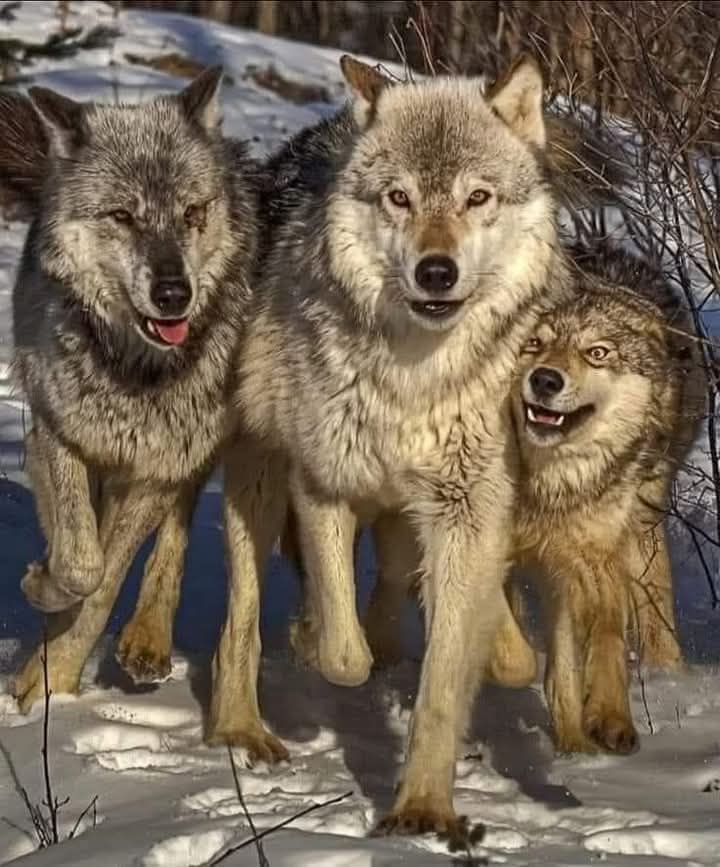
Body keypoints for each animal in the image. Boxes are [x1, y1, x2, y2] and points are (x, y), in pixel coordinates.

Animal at [7, 70, 260, 714]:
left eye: (192, 212)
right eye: (122, 216)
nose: (174, 294)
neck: (134, 372)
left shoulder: (155, 471)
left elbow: (103, 584)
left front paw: (54, 682)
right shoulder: (59, 437)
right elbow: (80, 563)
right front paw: (42, 588)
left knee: (172, 534)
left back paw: (143, 641)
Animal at [204, 52, 582, 841]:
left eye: (477, 197)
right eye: (400, 198)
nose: (436, 271)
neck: (416, 378)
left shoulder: (468, 509)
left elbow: (448, 674)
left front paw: (423, 808)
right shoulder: (324, 484)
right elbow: (343, 652)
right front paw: (320, 639)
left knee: (409, 588)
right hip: (260, 486)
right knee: (244, 620)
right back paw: (244, 727)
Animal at [364, 243, 706, 755]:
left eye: (597, 353)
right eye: (533, 345)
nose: (545, 380)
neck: (546, 487)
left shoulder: (595, 555)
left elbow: (606, 633)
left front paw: (609, 717)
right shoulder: (482, 541)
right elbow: (506, 636)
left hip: (640, 526)